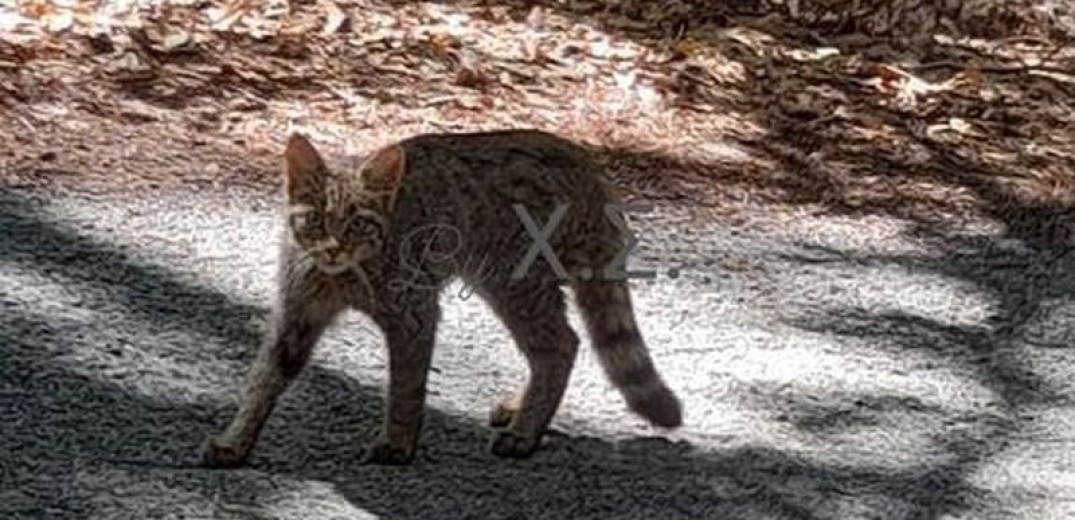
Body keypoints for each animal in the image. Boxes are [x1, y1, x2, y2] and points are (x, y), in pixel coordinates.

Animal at [202, 130, 679, 466]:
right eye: (317, 219)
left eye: (359, 223)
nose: (334, 247)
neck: (341, 276)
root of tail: (587, 161)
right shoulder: (295, 314)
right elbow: (264, 379)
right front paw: (236, 441)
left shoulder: (414, 312)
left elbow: (405, 386)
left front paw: (397, 443)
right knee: (557, 344)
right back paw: (520, 411)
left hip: (511, 281)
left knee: (561, 344)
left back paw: (525, 432)